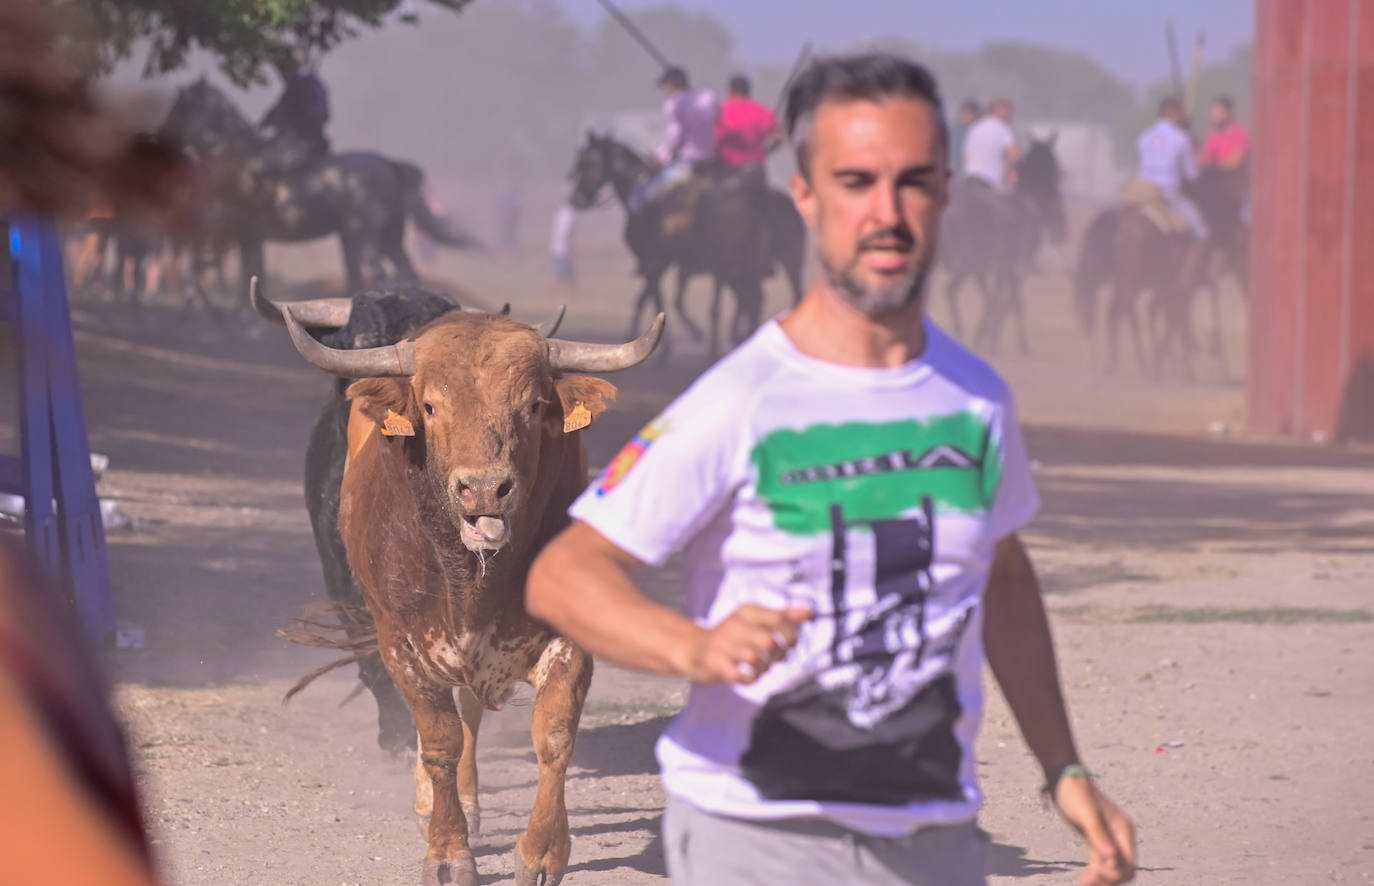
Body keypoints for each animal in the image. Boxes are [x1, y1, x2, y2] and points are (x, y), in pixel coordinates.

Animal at [155, 76, 475, 296]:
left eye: (181, 106)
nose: (159, 137)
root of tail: (389, 164)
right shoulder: (247, 237)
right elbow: (251, 274)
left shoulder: (247, 234)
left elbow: (250, 275)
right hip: (384, 238)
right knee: (402, 273)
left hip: (363, 238)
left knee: (378, 275)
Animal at [269, 296, 665, 884]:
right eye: (431, 406)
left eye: (533, 404)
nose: (483, 489)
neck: (475, 577)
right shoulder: (401, 643)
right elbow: (439, 741)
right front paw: (448, 849)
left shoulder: (564, 635)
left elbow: (553, 735)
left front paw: (542, 852)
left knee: (472, 713)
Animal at [566, 133, 802, 354]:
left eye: (588, 162)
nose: (577, 199)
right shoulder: (674, 263)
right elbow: (664, 299)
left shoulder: (653, 259)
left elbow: (652, 298)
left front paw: (659, 345)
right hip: (763, 262)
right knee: (759, 299)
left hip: (729, 262)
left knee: (731, 304)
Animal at [939, 133, 1066, 351]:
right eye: (1053, 160)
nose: (1061, 230)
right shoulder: (1016, 264)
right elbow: (1012, 302)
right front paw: (1015, 342)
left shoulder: (1002, 266)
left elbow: (1001, 300)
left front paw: (990, 337)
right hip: (971, 261)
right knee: (962, 293)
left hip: (970, 263)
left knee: (955, 292)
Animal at [1077, 166, 1253, 379]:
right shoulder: (1192, 281)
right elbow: (1181, 318)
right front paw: (1185, 367)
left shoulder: (1186, 283)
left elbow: (1177, 318)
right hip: (1133, 280)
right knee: (1121, 311)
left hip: (1133, 280)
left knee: (1126, 311)